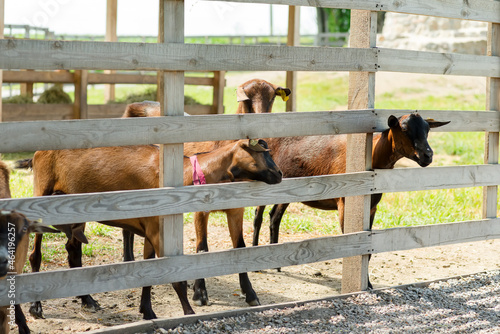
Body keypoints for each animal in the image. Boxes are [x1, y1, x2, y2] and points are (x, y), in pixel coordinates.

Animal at [22, 139, 282, 320]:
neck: (182, 173)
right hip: (42, 193)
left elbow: (149, 271)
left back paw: (88, 300)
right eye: (263, 154)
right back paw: (36, 307)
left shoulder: (151, 228)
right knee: (36, 254)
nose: (280, 174)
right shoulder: (158, 231)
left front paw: (147, 311)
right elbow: (174, 277)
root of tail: (36, 153)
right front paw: (189, 313)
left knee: (73, 250)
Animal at [254, 115, 450, 288]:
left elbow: (367, 250)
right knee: (258, 215)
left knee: (274, 216)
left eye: (427, 129)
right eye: (403, 129)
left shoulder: (372, 207)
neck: (373, 156)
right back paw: (256, 262)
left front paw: (368, 284)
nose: (427, 155)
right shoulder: (345, 203)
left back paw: (276, 265)